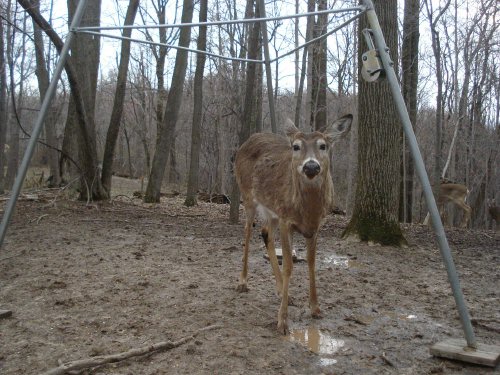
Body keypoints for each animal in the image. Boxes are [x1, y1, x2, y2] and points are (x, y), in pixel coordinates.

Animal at [234, 114, 352, 334]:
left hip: (271, 210)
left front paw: (315, 308)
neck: (308, 211)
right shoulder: (285, 220)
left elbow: (312, 263)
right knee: (247, 231)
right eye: (296, 146)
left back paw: (282, 292)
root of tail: (248, 140)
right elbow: (289, 265)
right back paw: (243, 282)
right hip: (247, 195)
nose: (311, 166)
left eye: (323, 145)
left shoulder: (316, 226)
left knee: (265, 232)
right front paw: (282, 321)